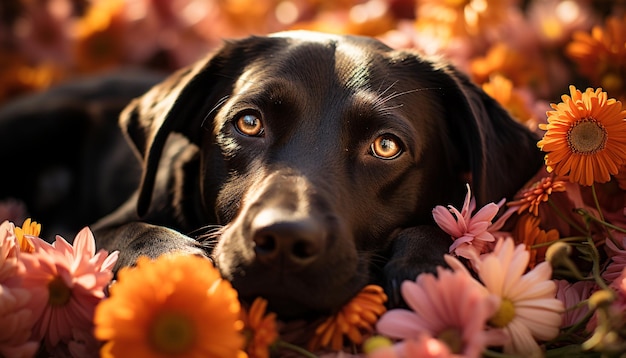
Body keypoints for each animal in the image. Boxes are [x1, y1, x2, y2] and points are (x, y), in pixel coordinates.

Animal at [0, 31, 540, 318]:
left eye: (386, 146)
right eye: (249, 122)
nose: (283, 238)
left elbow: (441, 230)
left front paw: (431, 267)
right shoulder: (107, 222)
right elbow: (134, 230)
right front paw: (177, 266)